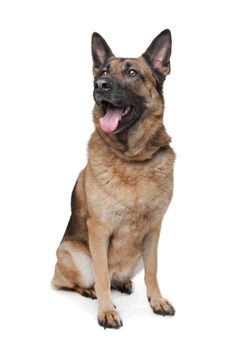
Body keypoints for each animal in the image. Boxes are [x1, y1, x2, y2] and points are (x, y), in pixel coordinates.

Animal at [52, 29, 176, 328]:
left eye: (132, 72)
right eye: (104, 71)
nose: (100, 84)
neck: (132, 160)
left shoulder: (154, 231)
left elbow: (153, 270)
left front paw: (157, 300)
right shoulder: (99, 230)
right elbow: (101, 275)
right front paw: (107, 310)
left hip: (136, 256)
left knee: (119, 276)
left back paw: (124, 283)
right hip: (74, 255)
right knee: (78, 280)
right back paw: (90, 290)